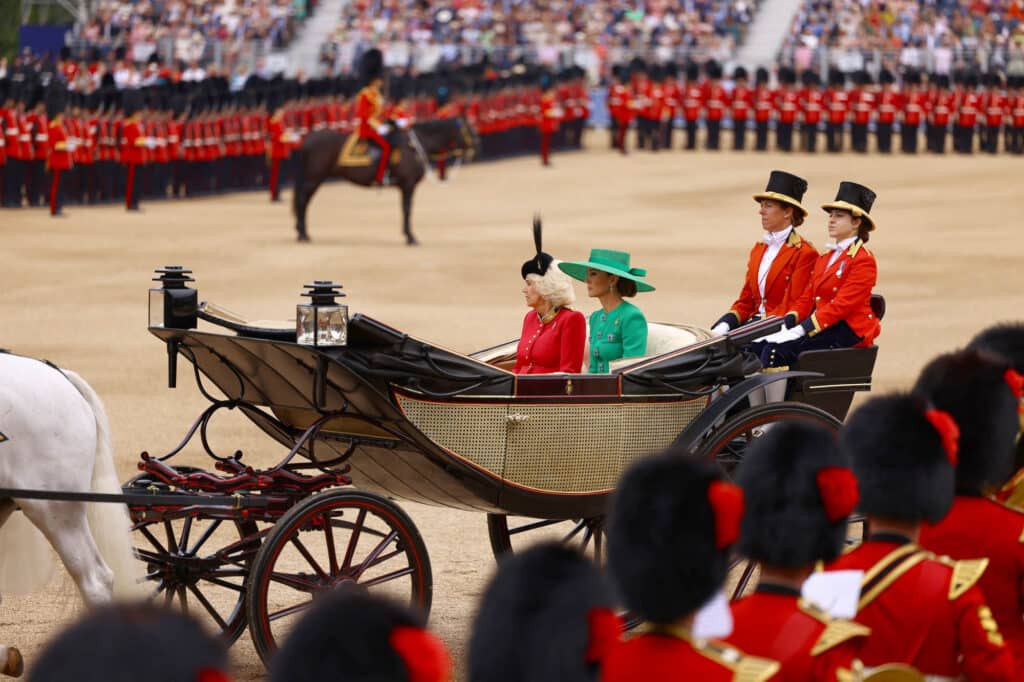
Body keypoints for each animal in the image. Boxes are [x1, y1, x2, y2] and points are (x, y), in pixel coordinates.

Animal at [290, 115, 477, 242]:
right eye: (468, 129)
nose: (477, 145)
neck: (414, 147)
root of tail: (308, 139)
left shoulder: (406, 186)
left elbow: (406, 209)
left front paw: (408, 234)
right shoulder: (408, 184)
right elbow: (407, 209)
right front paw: (410, 237)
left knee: (303, 201)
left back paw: (301, 232)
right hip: (314, 178)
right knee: (302, 201)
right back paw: (303, 234)